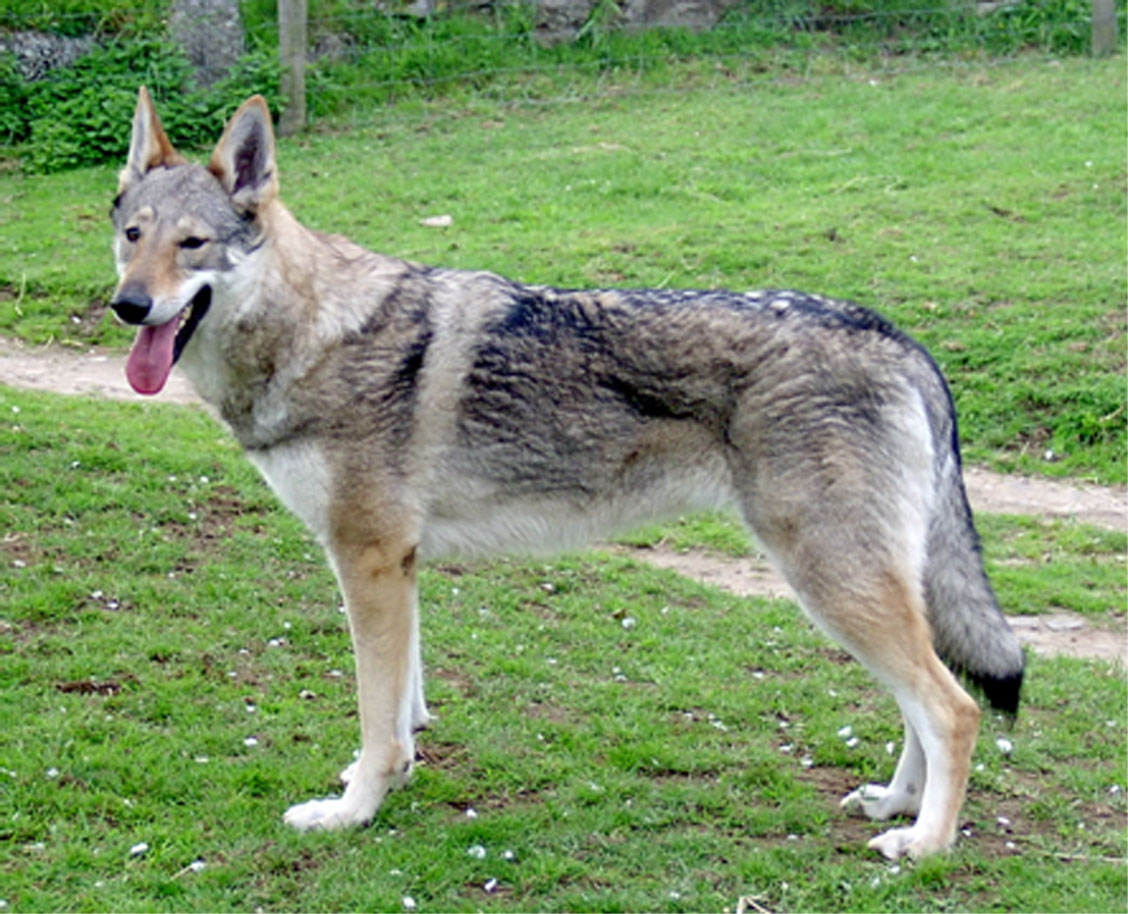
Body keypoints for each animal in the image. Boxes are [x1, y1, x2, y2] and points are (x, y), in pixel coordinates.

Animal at [109, 87, 1024, 860]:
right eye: (132, 236)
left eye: (193, 245)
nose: (128, 306)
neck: (315, 331)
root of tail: (900, 340)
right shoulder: (396, 566)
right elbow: (404, 709)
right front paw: (388, 781)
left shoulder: (367, 561)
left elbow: (377, 719)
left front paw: (351, 812)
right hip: (856, 586)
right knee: (923, 700)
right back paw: (895, 804)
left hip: (831, 580)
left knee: (954, 707)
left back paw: (925, 844)